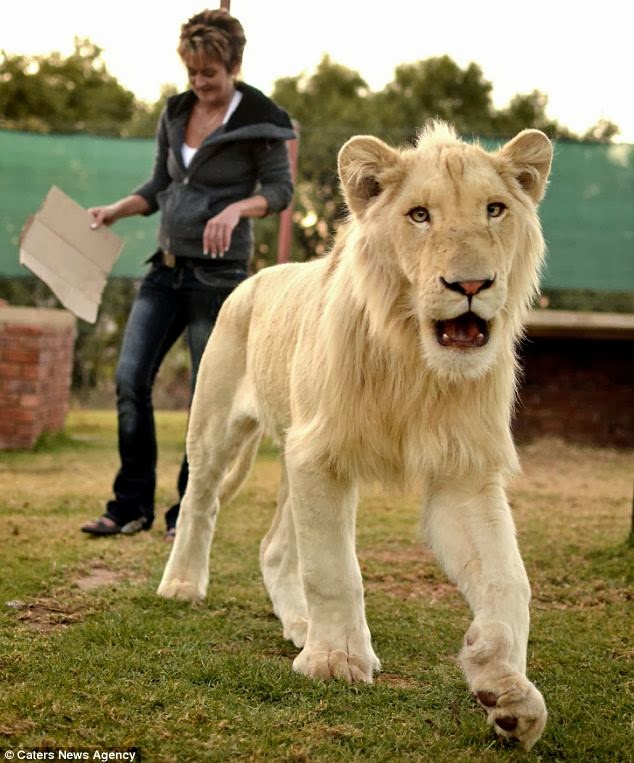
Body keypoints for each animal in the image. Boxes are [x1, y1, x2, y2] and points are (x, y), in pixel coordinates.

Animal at [159, 122, 552, 748]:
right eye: (420, 215)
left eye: (495, 210)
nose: (471, 283)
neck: (416, 363)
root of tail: (256, 276)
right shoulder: (322, 454)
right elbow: (334, 570)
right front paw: (336, 661)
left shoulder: (462, 472)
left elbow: (508, 578)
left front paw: (503, 682)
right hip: (217, 425)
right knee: (201, 502)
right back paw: (181, 585)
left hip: (291, 449)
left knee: (276, 547)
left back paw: (299, 623)